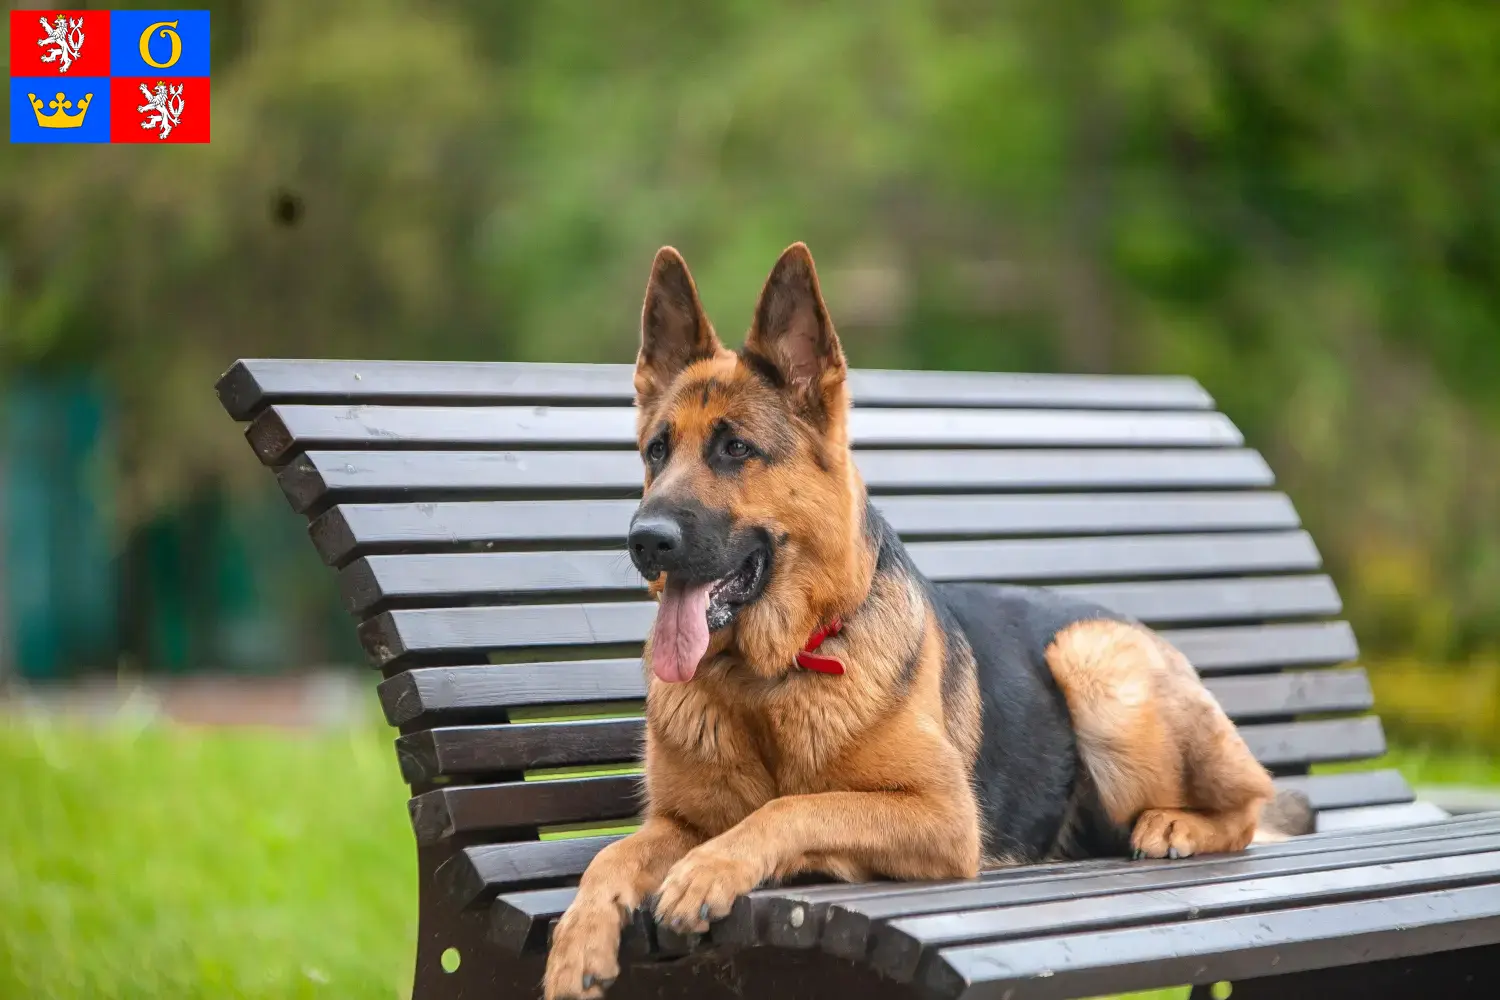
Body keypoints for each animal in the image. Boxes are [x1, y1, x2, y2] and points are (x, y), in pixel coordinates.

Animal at [543, 244, 1314, 1000]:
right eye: (657, 451)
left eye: (735, 449)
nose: (645, 541)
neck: (771, 675)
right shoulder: (674, 822)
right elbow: (611, 856)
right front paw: (577, 941)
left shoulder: (941, 819)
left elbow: (797, 807)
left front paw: (708, 870)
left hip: (1090, 660)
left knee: (1252, 803)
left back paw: (1176, 824)